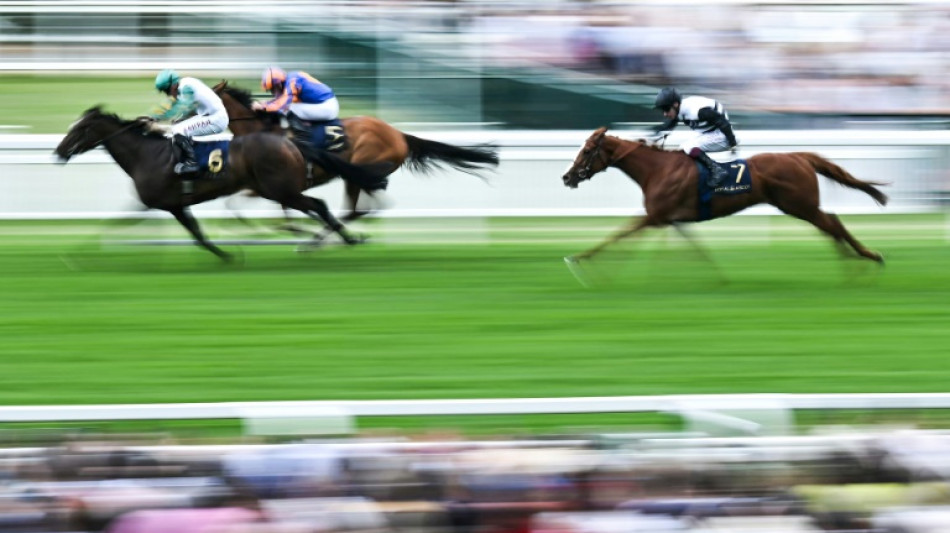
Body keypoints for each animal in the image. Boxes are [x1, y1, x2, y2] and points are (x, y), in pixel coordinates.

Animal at [54, 105, 364, 260]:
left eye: (80, 129)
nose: (58, 152)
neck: (146, 154)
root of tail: (290, 142)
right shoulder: (172, 206)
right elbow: (198, 234)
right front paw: (227, 254)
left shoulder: (159, 204)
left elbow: (116, 222)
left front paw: (76, 253)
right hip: (276, 190)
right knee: (318, 206)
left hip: (281, 189)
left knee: (319, 205)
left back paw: (343, 238)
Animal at [213, 80, 502, 220]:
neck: (263, 131)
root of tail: (399, 134)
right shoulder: (265, 185)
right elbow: (236, 204)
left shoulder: (281, 183)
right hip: (356, 176)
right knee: (359, 209)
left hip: (361, 169)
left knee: (360, 209)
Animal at [560, 125, 888, 266]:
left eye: (587, 151)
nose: (567, 177)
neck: (657, 169)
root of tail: (799, 156)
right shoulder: (672, 220)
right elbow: (697, 249)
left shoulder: (654, 217)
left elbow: (618, 235)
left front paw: (580, 259)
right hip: (797, 205)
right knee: (831, 225)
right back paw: (852, 258)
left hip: (800, 204)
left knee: (832, 222)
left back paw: (868, 256)